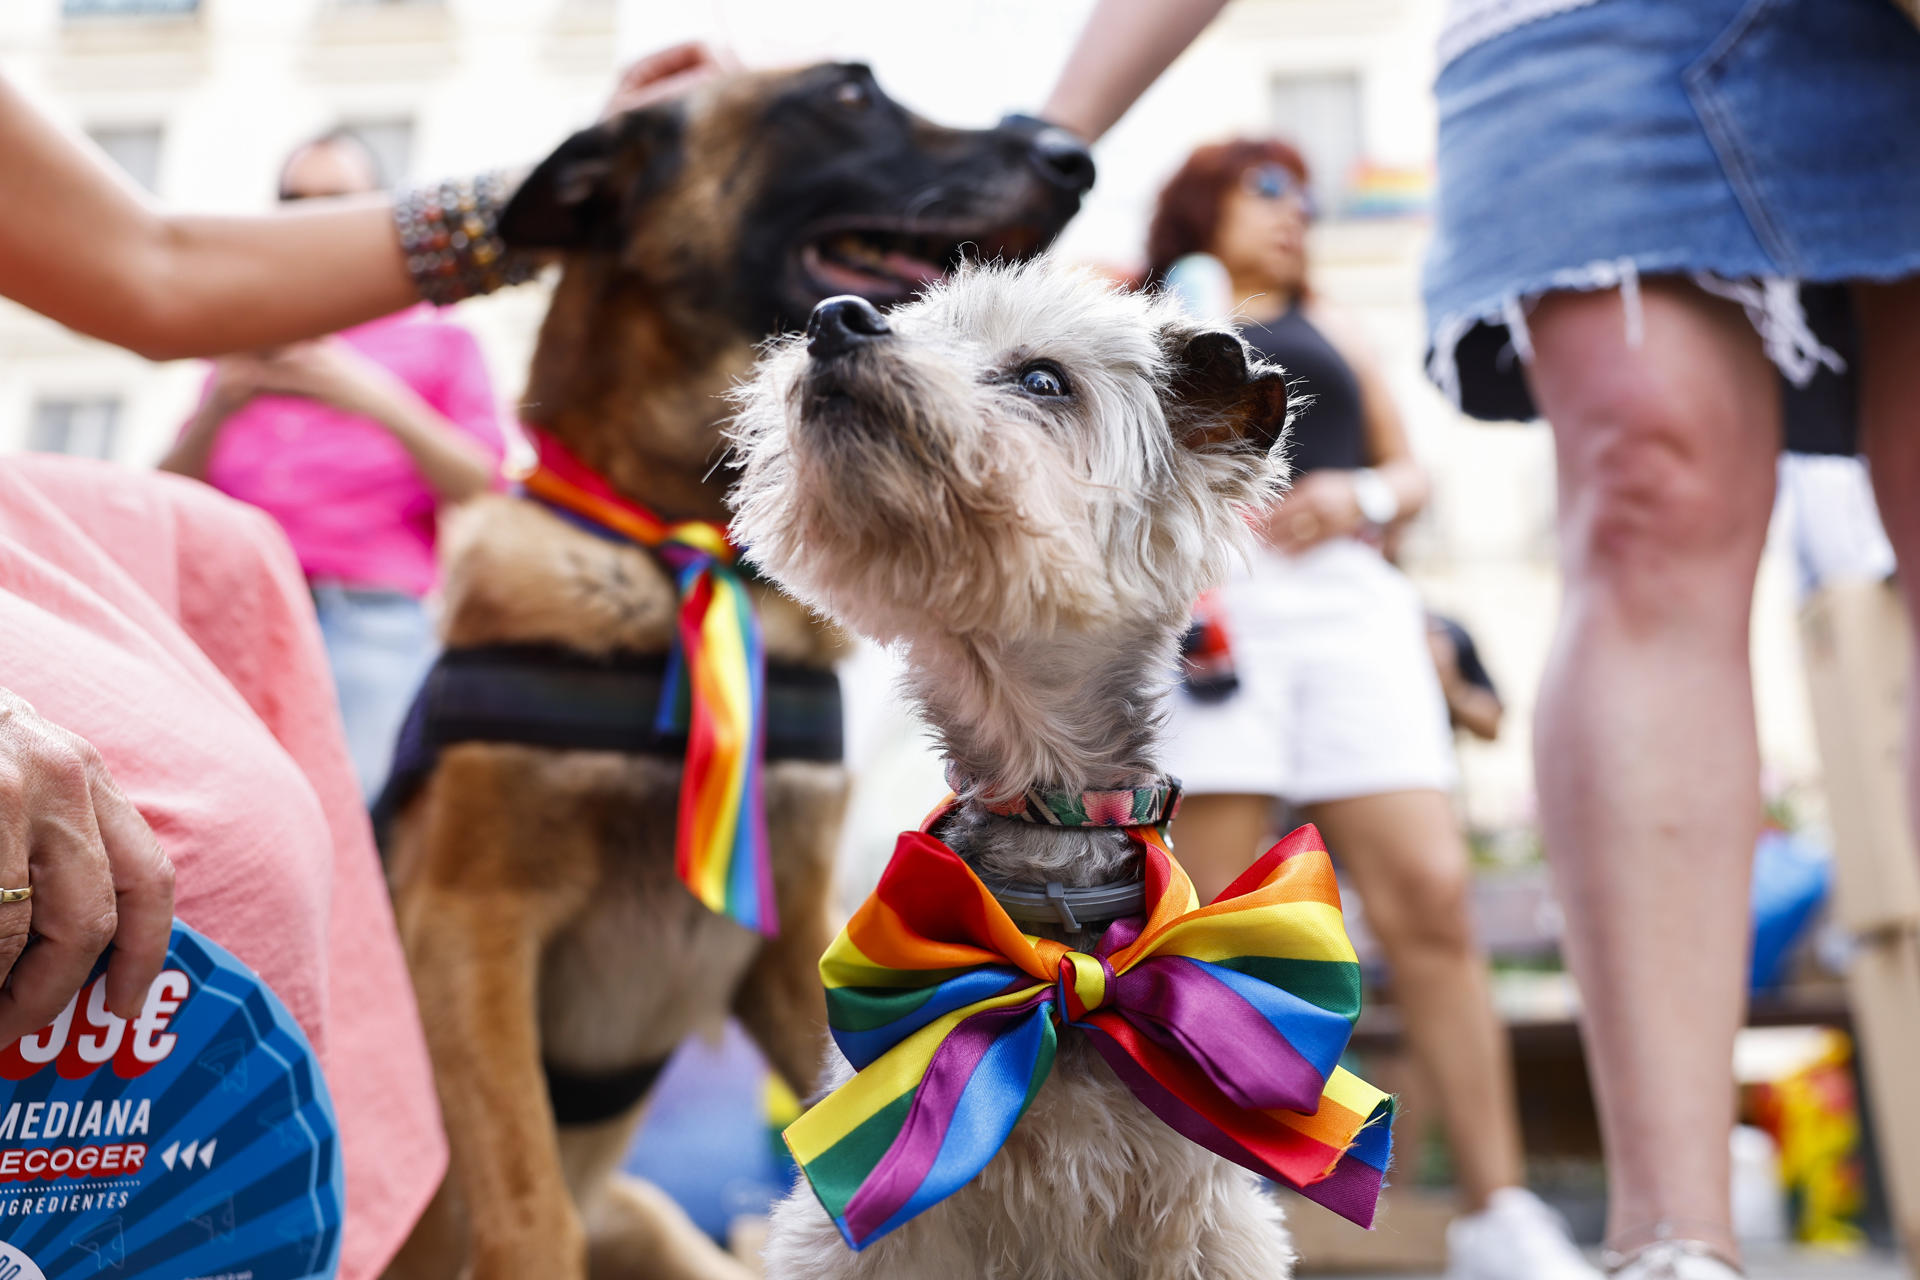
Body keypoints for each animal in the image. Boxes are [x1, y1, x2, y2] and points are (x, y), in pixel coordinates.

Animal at [380, 67, 1090, 1280]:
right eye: (846, 94)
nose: (1072, 155)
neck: (680, 545)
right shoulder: (469, 928)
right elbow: (525, 1205)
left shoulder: (797, 933)